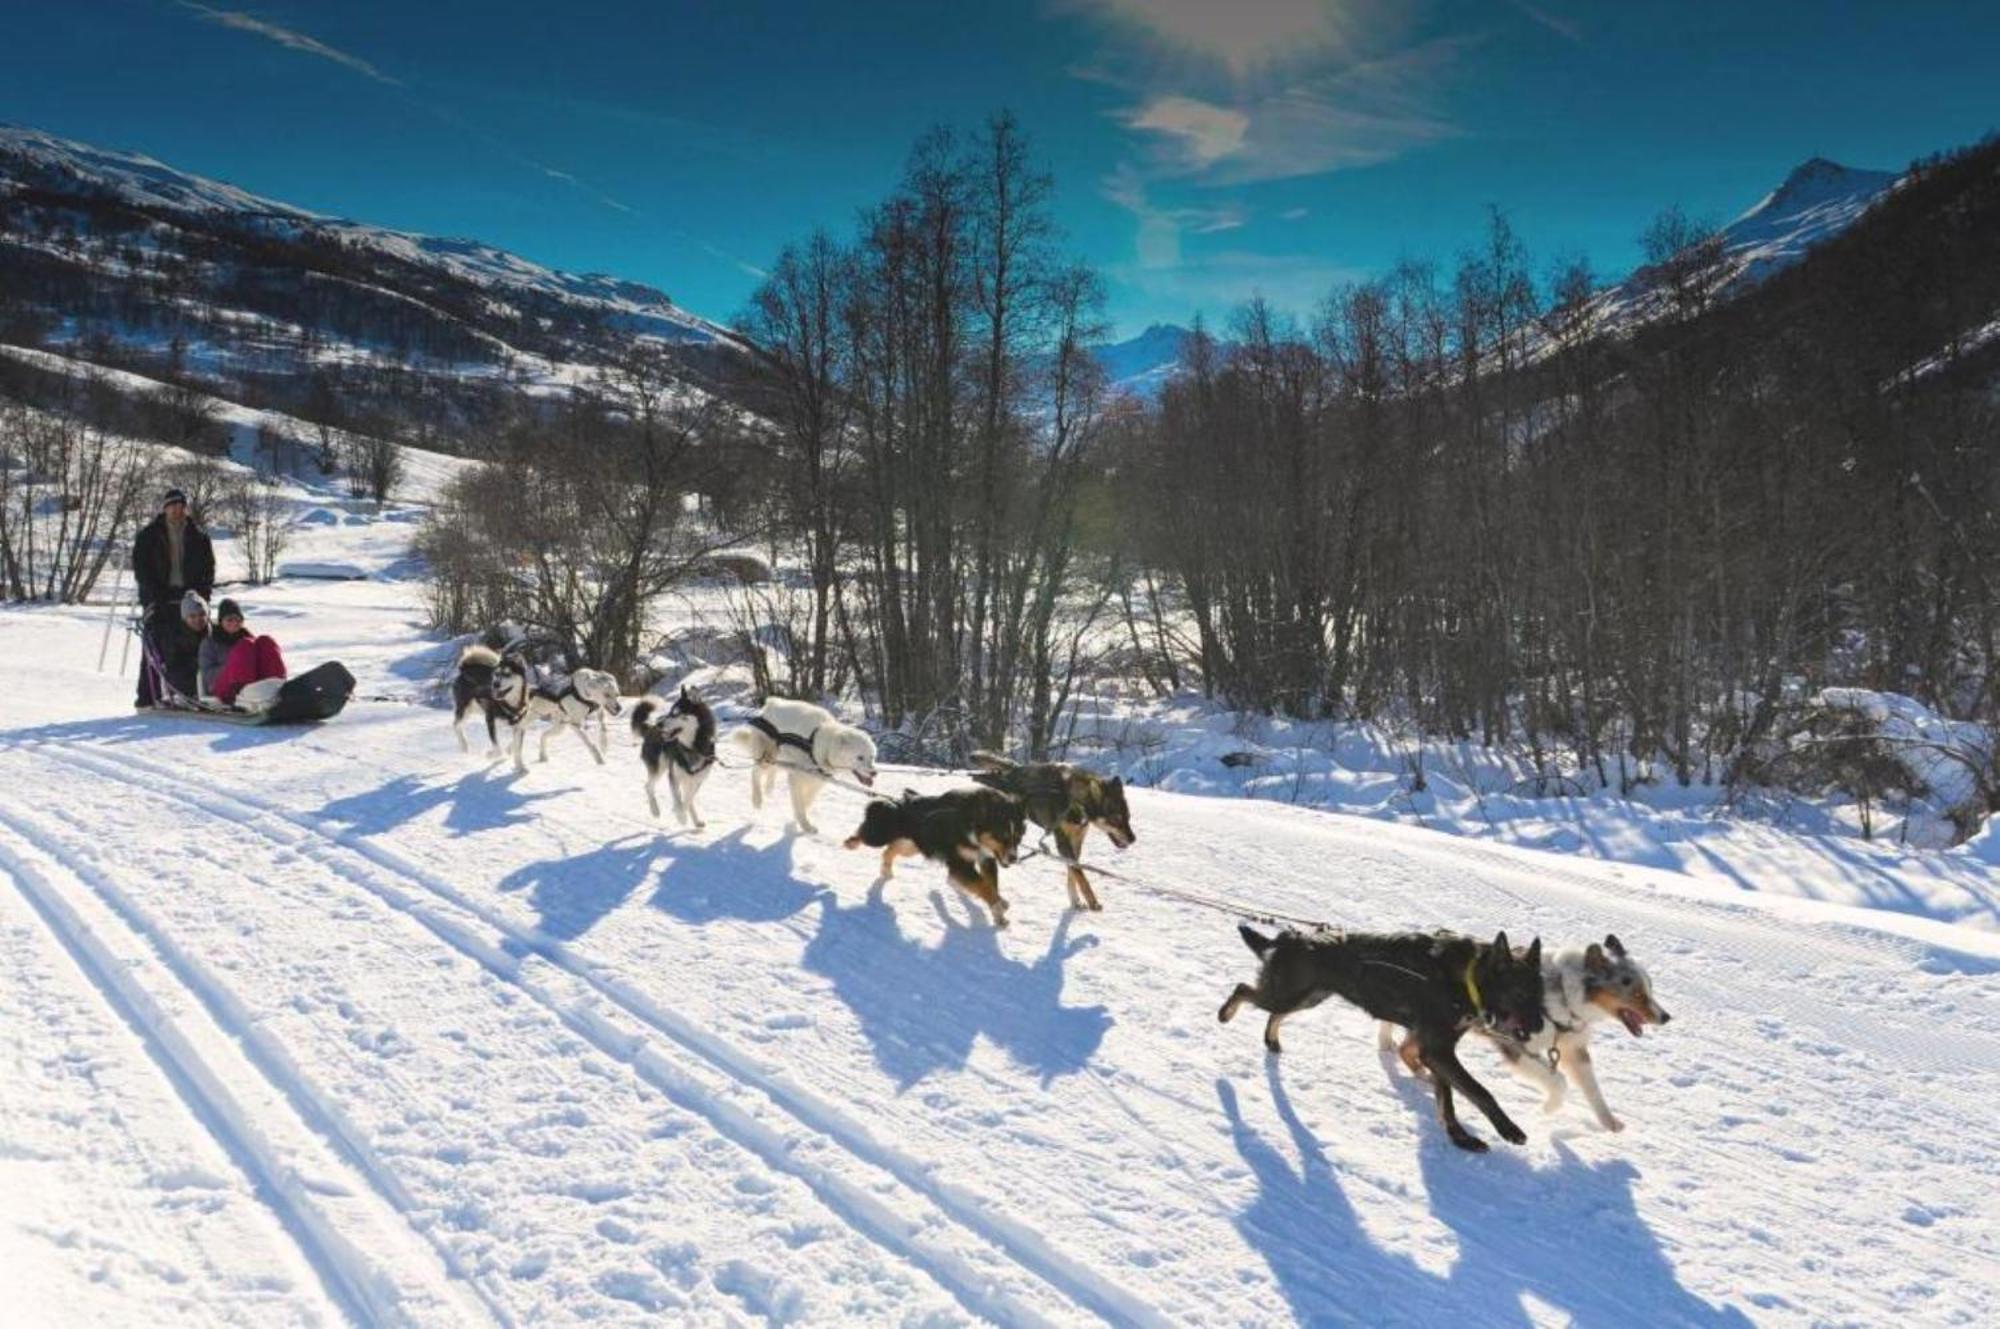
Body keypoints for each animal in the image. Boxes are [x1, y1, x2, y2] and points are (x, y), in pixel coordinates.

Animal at [724, 696, 872, 832]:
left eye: (871, 757)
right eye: (860, 757)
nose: (874, 772)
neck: (817, 745)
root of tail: (769, 704)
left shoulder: (817, 781)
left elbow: (807, 801)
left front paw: (799, 819)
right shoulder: (796, 778)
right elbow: (799, 804)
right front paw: (805, 825)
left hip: (777, 759)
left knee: (772, 771)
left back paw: (769, 789)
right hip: (766, 759)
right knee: (755, 773)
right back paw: (757, 799)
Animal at [972, 752, 1136, 908]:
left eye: (1128, 817)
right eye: (1116, 819)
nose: (1133, 839)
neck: (1073, 799)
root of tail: (1014, 770)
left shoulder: (1076, 839)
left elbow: (1073, 871)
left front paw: (1075, 900)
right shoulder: (1063, 841)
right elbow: (1080, 874)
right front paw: (1092, 901)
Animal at [1216, 924, 1544, 1152]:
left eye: (1539, 996)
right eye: (1520, 994)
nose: (1541, 1026)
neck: (1467, 978)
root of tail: (1290, 937)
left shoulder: (1435, 1050)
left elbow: (1447, 1098)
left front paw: (1458, 1136)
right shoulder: (1438, 1050)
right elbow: (1479, 1091)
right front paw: (1506, 1128)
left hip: (1308, 997)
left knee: (1273, 1013)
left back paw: (1271, 1040)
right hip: (1289, 994)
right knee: (1243, 989)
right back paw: (1225, 1014)